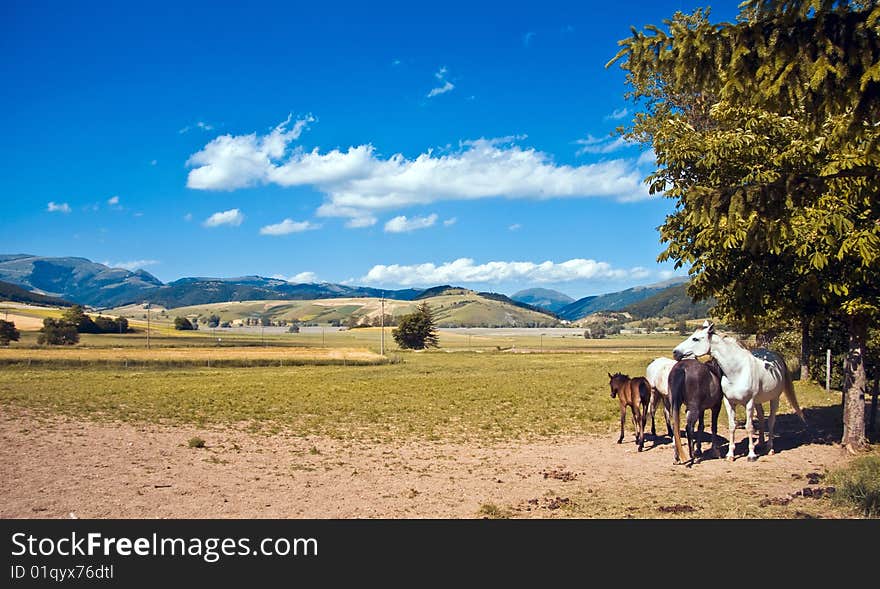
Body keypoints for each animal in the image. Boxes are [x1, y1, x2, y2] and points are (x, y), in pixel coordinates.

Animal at [672, 322, 808, 460]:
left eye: (695, 339)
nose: (675, 352)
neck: (737, 371)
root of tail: (775, 357)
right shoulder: (729, 402)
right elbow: (732, 426)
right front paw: (730, 455)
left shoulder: (748, 403)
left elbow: (749, 427)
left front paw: (751, 455)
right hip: (758, 402)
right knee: (761, 418)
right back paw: (760, 443)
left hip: (774, 398)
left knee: (771, 421)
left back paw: (770, 448)